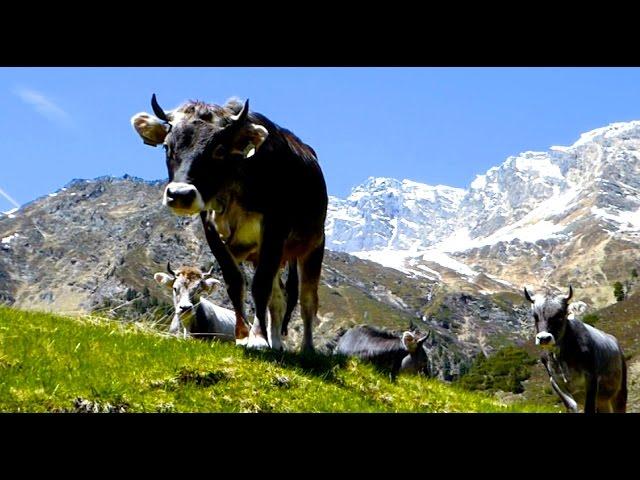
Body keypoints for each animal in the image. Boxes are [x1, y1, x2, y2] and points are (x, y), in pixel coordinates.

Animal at [524, 284, 624, 412]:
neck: (560, 357)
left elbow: (589, 408)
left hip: (619, 393)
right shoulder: (555, 382)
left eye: (560, 315)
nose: (544, 338)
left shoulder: (591, 378)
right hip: (602, 400)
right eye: (535, 317)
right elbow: (571, 406)